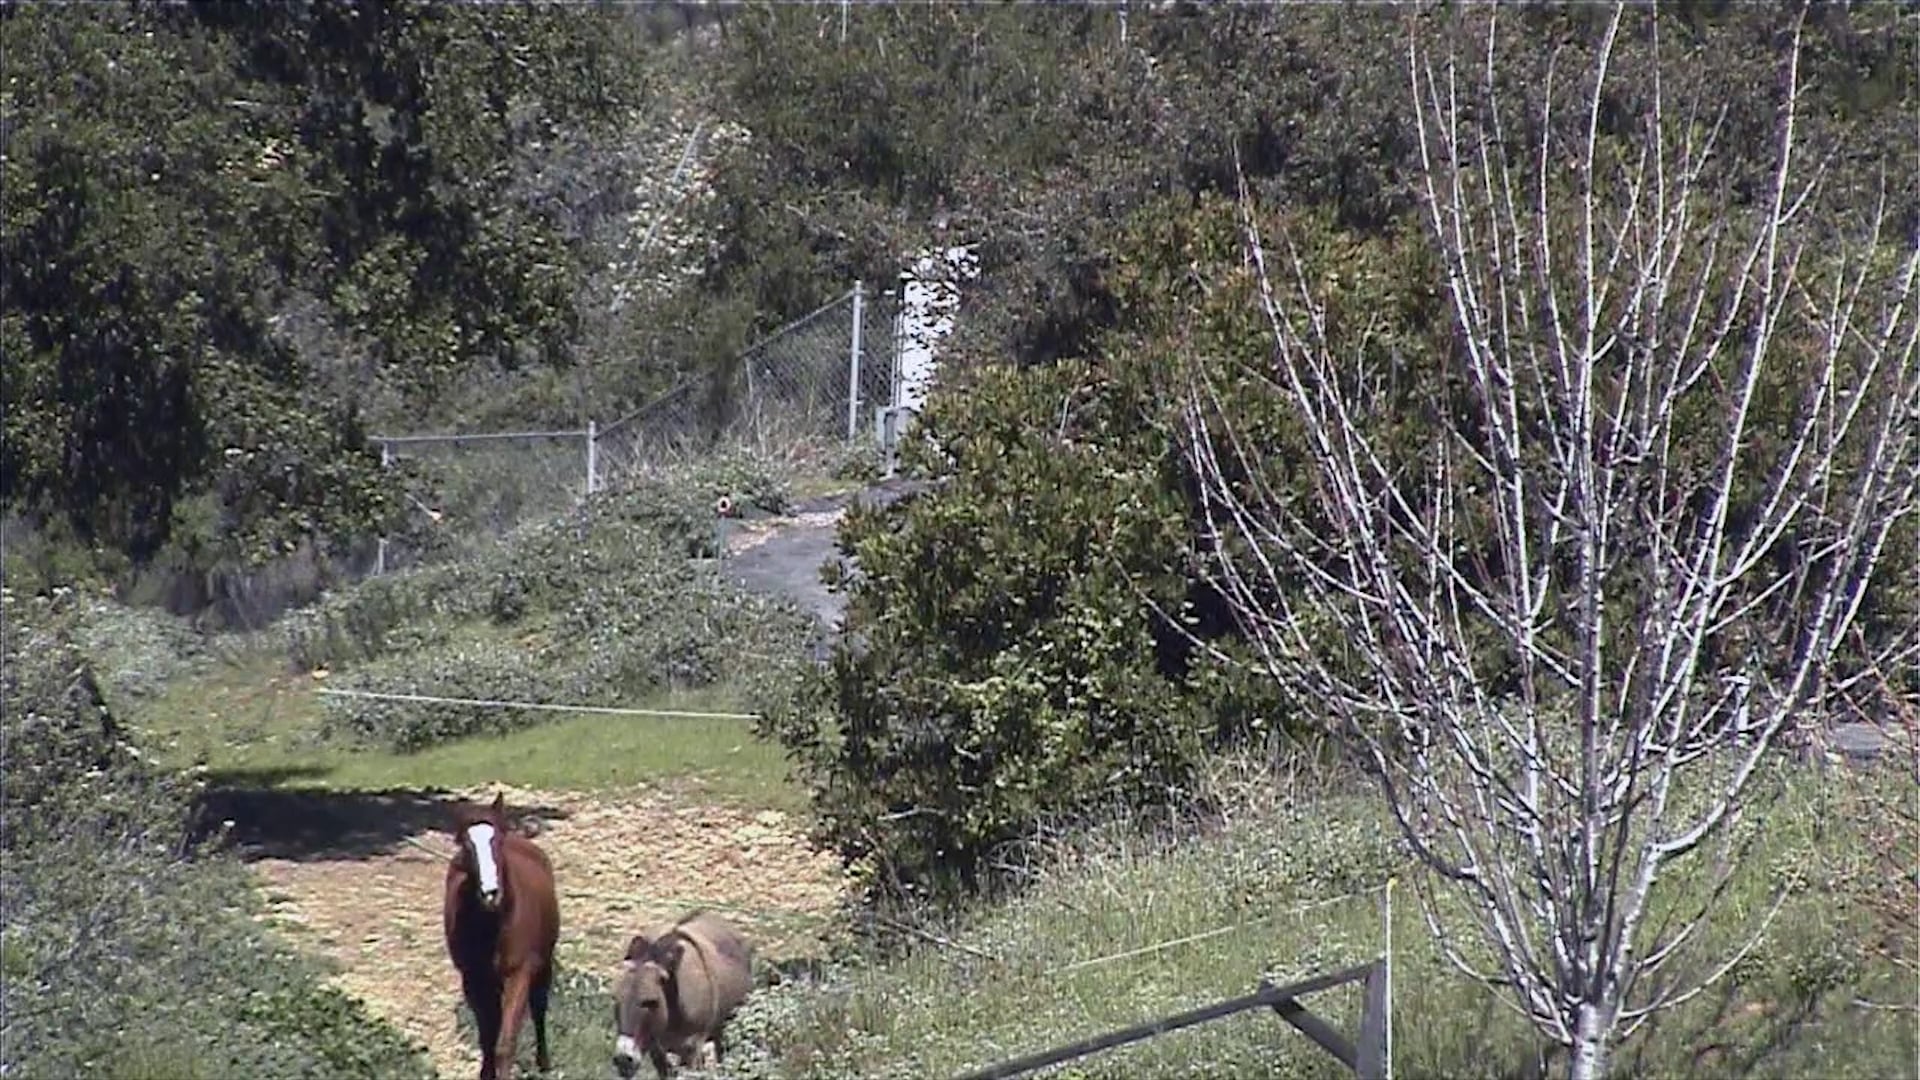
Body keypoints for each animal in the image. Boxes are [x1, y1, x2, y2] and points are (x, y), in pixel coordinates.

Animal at [443, 792, 561, 1080]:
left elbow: (505, 1043)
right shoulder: (473, 978)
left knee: (539, 1009)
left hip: (543, 965)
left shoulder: (519, 974)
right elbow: (488, 1036)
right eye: (466, 845)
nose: (490, 893)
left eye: (496, 839)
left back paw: (544, 1062)